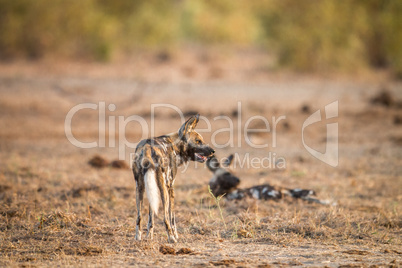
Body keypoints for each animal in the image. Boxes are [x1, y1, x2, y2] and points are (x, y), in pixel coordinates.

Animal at [132, 113, 214, 243]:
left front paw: (149, 237)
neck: (175, 146)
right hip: (163, 190)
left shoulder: (152, 188)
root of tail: (147, 147)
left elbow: (151, 217)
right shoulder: (170, 187)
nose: (213, 151)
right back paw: (171, 238)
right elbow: (172, 217)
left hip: (140, 188)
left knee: (139, 217)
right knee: (166, 218)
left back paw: (138, 238)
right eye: (198, 141)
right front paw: (175, 235)